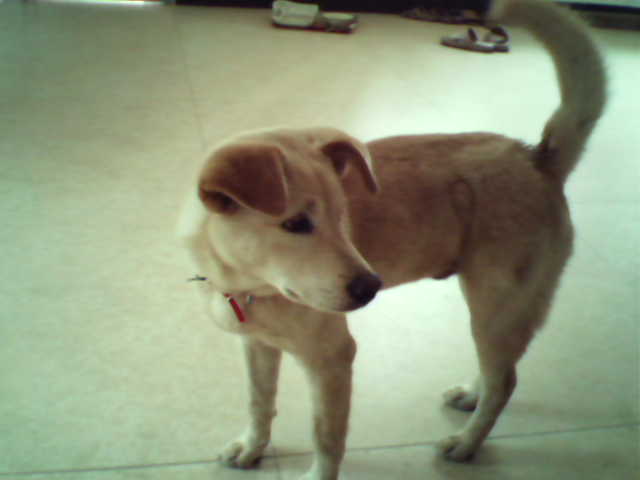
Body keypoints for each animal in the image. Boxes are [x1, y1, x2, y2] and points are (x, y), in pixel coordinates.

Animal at [176, 1, 606, 478]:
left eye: (342, 216)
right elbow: (259, 403)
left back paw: (467, 442)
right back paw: (472, 395)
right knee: (501, 367)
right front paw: (252, 447)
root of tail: (536, 157)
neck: (250, 289)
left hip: (495, 303)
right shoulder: (257, 347)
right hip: (499, 311)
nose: (371, 287)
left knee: (505, 381)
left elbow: (326, 436)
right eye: (296, 224)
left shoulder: (332, 358)